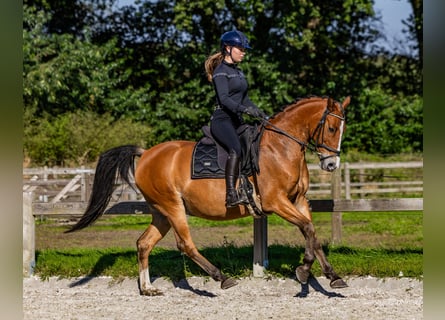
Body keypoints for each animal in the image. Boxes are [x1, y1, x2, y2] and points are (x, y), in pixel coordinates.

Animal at [66, 94, 350, 296]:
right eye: (332, 128)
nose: (331, 164)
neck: (281, 148)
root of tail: (146, 153)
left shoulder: (298, 201)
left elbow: (312, 233)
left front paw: (332, 276)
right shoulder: (276, 202)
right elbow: (308, 229)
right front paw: (304, 269)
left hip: (161, 212)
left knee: (144, 243)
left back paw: (147, 288)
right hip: (173, 208)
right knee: (185, 244)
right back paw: (221, 277)